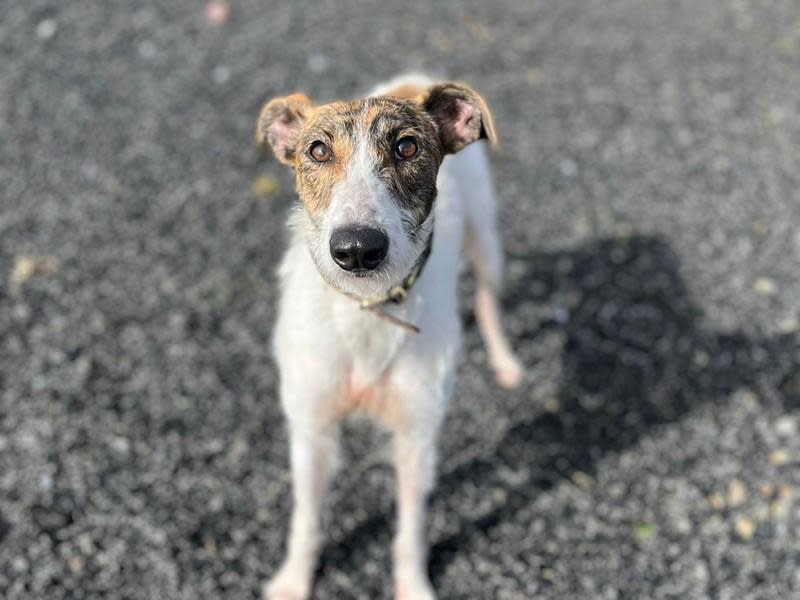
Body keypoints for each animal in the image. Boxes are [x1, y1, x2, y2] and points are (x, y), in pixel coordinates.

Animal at [253, 75, 520, 600]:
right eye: (317, 151)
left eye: (407, 147)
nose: (358, 249)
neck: (368, 311)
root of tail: (418, 78)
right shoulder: (312, 427)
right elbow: (306, 519)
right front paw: (293, 581)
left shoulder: (416, 433)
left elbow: (410, 528)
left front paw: (412, 586)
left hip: (487, 240)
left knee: (488, 300)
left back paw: (504, 361)